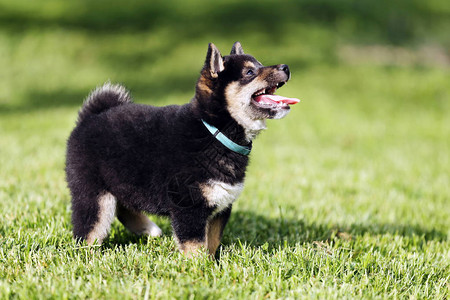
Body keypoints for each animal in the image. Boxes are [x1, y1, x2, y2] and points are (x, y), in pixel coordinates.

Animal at [66, 42, 298, 256]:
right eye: (250, 72)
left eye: (259, 64)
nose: (286, 67)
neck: (213, 132)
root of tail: (89, 118)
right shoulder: (189, 206)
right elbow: (195, 245)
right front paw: (198, 267)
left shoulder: (220, 207)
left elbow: (212, 241)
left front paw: (213, 263)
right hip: (94, 192)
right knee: (90, 228)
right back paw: (87, 253)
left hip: (121, 182)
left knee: (124, 207)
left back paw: (148, 229)